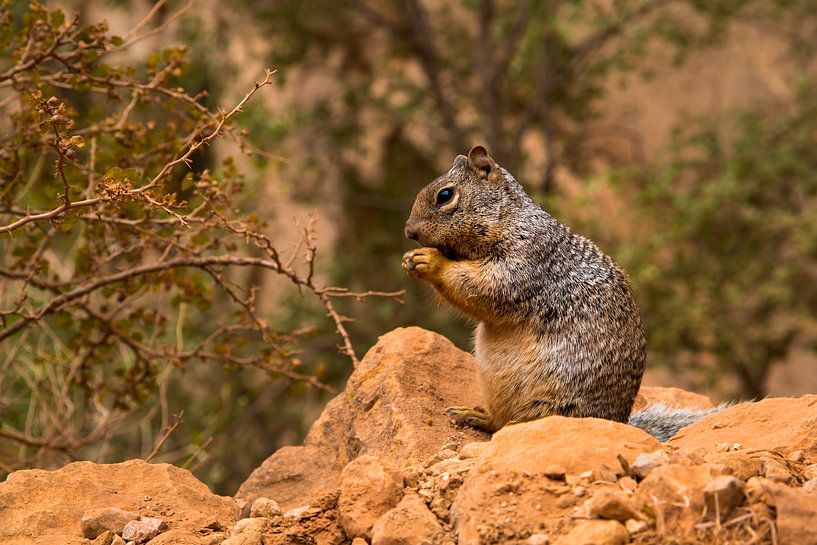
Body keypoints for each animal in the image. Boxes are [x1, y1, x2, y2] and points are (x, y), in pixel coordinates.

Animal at [402, 145, 720, 442]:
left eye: (445, 195)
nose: (409, 232)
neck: (509, 219)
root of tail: (618, 420)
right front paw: (410, 260)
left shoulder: (525, 260)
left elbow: (485, 288)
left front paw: (429, 261)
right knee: (497, 422)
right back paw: (473, 415)